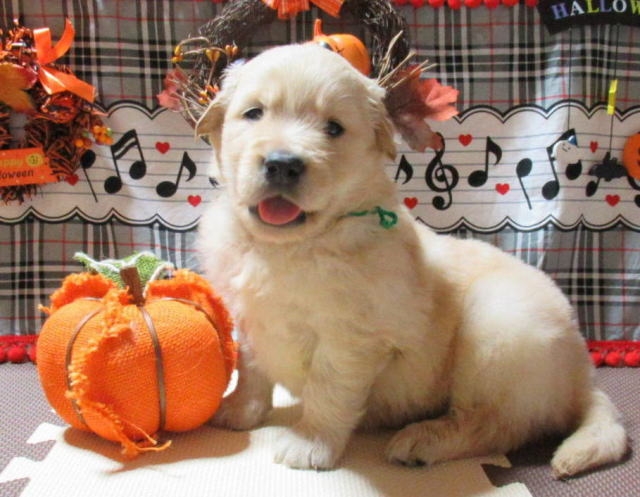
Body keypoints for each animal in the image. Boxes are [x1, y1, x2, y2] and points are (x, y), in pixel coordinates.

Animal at [195, 44, 628, 478]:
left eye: (333, 128)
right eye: (254, 113)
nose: (283, 164)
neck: (285, 246)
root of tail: (581, 376)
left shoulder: (350, 335)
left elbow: (328, 387)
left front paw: (310, 443)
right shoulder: (248, 316)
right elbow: (251, 366)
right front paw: (241, 410)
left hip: (501, 328)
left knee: (497, 424)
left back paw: (422, 440)